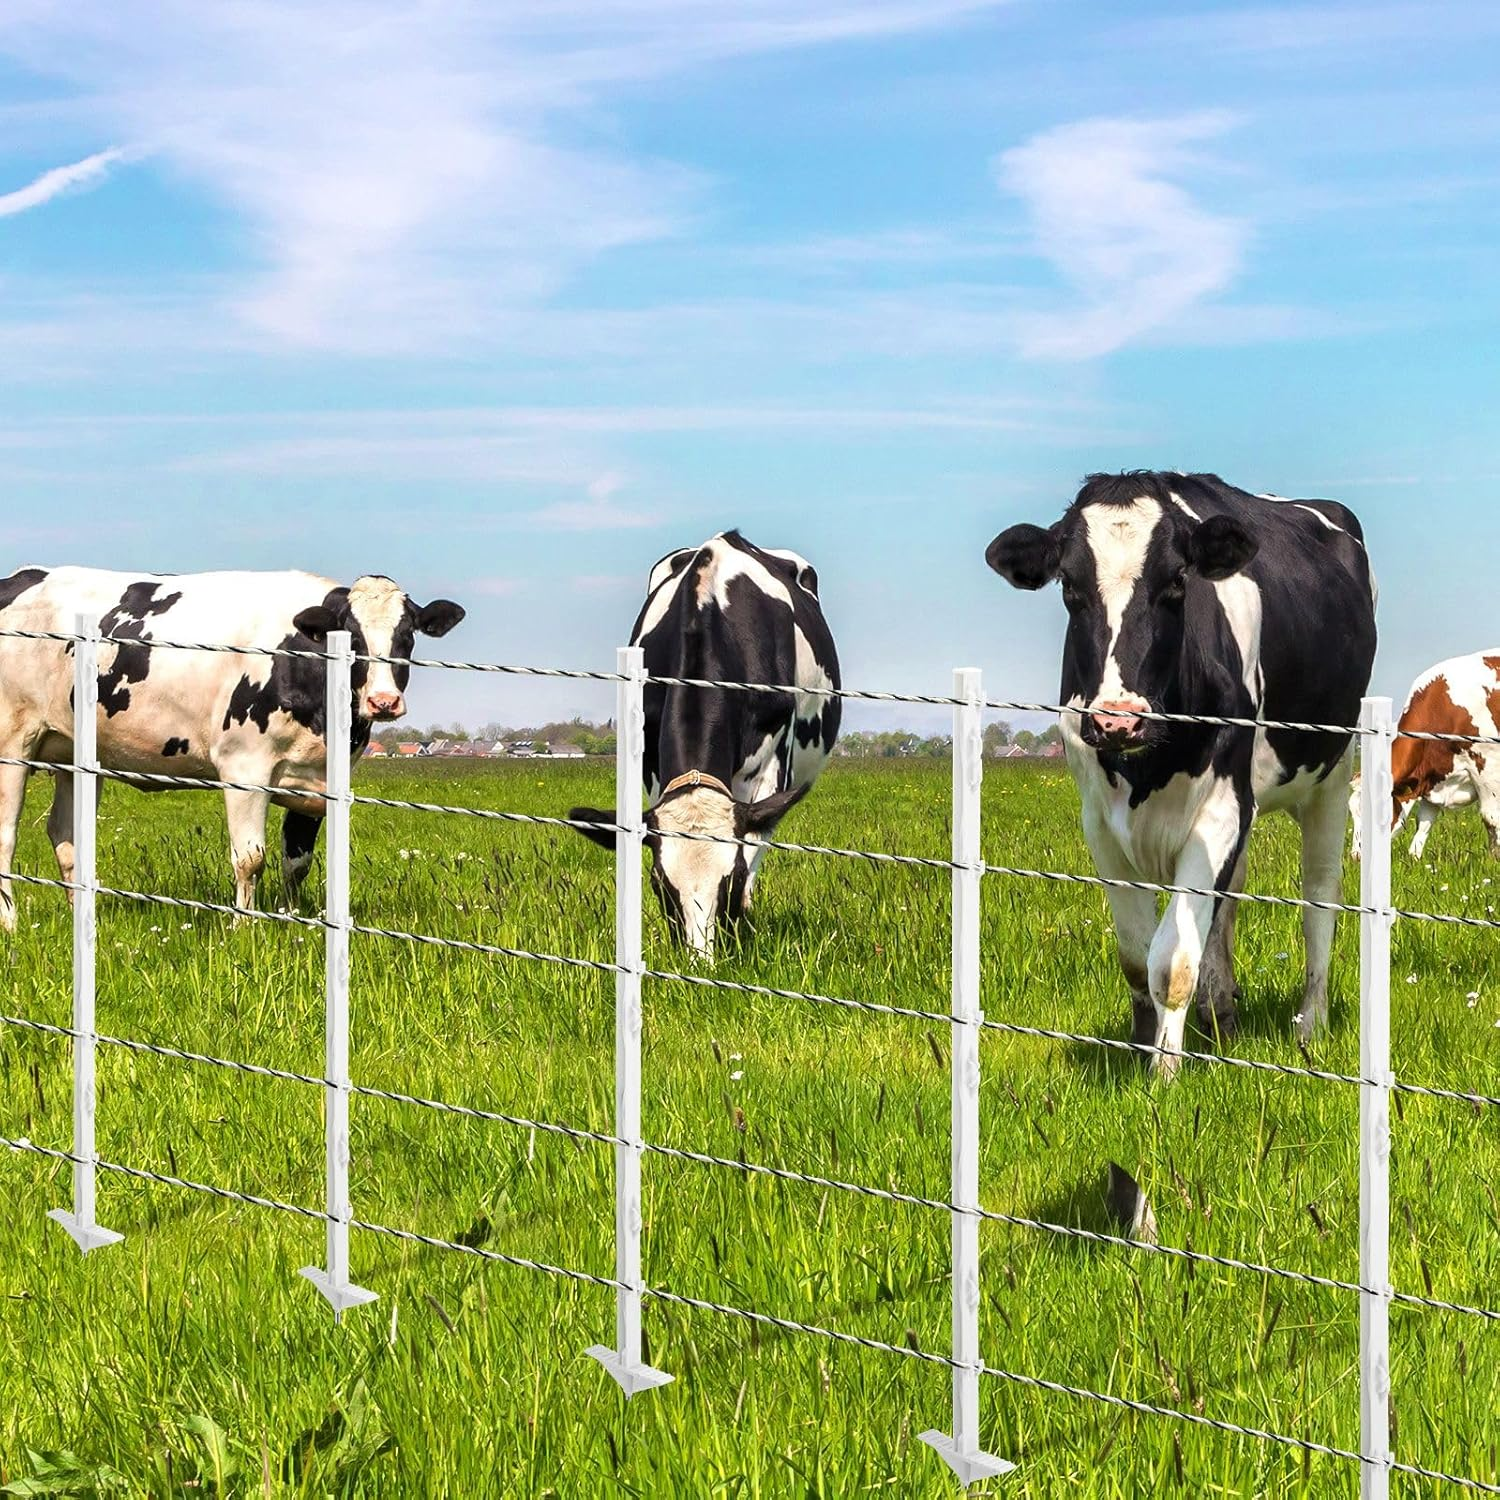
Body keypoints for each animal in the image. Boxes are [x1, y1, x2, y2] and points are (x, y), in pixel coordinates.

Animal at [0, 568, 464, 929]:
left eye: (407, 636)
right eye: (350, 636)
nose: (383, 701)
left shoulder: (321, 780)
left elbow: (298, 861)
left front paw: (292, 920)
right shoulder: (244, 768)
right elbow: (250, 858)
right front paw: (245, 928)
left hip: (74, 755)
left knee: (66, 837)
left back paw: (81, 915)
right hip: (13, 744)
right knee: (7, 834)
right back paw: (10, 922)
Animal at [569, 531, 840, 958]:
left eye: (731, 879)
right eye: (659, 884)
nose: (699, 961)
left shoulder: (771, 767)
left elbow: (753, 845)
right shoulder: (653, 765)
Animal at [985, 472, 1377, 1076]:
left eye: (1176, 582)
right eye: (1069, 586)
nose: (1117, 718)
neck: (1147, 767)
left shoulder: (1222, 808)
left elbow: (1170, 960)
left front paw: (1163, 1075)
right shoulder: (1100, 823)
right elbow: (1135, 955)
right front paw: (1142, 1045)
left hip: (1333, 775)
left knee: (1319, 895)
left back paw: (1310, 1024)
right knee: (1228, 901)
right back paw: (1222, 1015)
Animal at [1349, 651, 1500, 860]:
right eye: (1352, 811)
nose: (1356, 856)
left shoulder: (1487, 765)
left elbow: (1491, 819)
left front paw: (1493, 861)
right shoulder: (1432, 778)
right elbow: (1423, 823)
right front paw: (1415, 859)